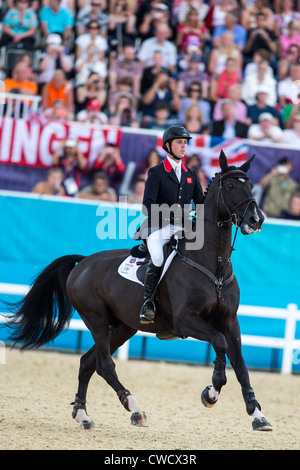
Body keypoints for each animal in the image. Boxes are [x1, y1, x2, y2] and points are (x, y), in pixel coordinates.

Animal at [5, 152, 272, 432]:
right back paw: (134, 408)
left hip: (123, 326)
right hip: (96, 319)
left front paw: (257, 414)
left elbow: (240, 364)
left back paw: (83, 415)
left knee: (88, 363)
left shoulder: (229, 320)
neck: (213, 265)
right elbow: (219, 343)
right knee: (104, 365)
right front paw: (212, 391)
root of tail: (84, 262)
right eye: (230, 186)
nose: (256, 220)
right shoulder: (185, 321)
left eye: (250, 185)